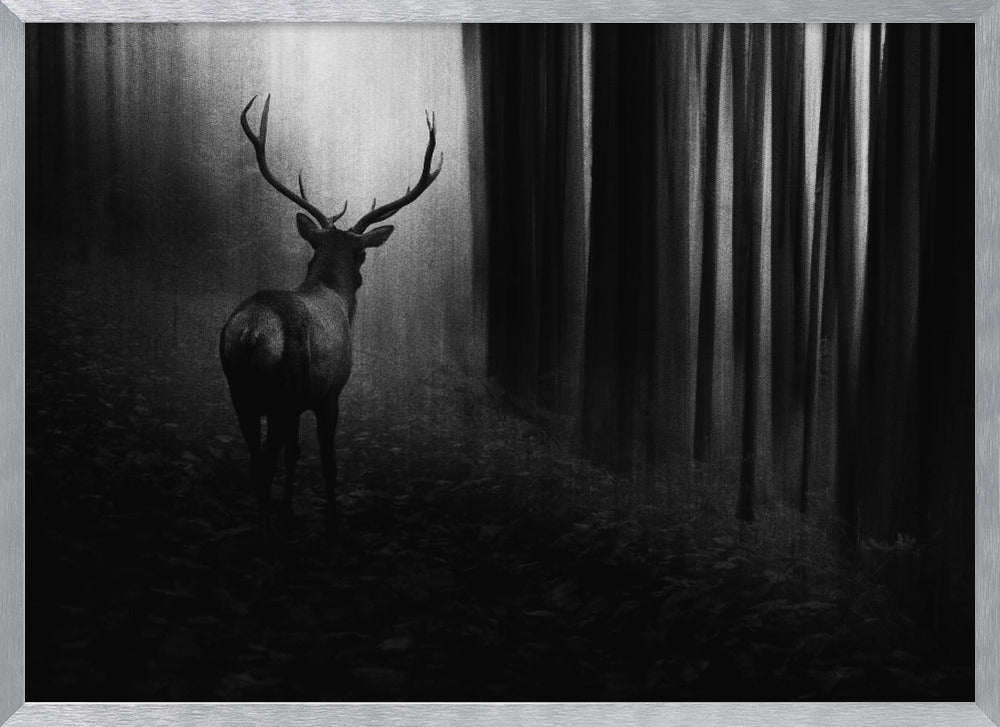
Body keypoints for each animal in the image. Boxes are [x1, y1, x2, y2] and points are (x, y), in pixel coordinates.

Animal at [220, 94, 442, 542]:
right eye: (362, 253)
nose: (361, 273)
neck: (335, 298)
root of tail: (251, 331)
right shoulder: (330, 393)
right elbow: (326, 459)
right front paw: (333, 522)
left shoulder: (300, 402)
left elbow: (295, 454)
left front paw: (290, 510)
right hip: (282, 391)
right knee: (263, 462)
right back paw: (267, 534)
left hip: (240, 389)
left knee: (255, 458)